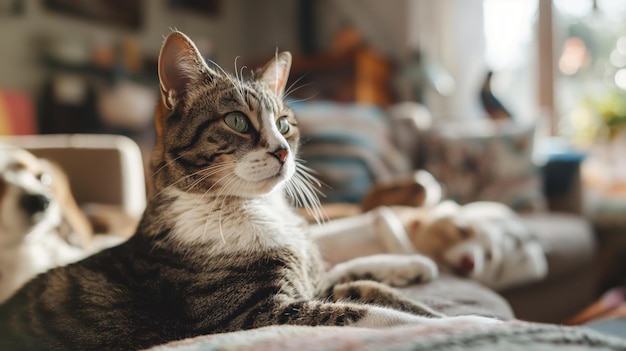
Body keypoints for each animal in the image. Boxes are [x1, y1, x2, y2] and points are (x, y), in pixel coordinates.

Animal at [0, 31, 494, 350]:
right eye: (237, 121)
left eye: (285, 124)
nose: (282, 151)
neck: (257, 210)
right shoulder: (256, 313)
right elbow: (371, 312)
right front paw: (468, 322)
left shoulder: (309, 283)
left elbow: (355, 278)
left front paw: (412, 266)